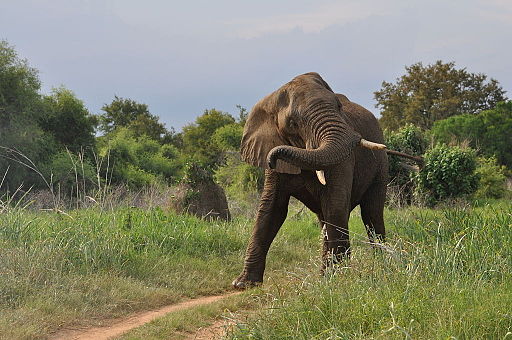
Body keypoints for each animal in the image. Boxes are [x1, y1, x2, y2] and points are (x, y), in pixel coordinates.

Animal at [235, 72, 388, 290]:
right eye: (292, 123)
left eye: (339, 107)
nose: (272, 158)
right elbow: (271, 210)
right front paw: (243, 284)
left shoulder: (344, 160)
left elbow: (335, 204)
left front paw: (338, 279)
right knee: (326, 219)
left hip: (381, 167)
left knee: (371, 213)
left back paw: (381, 264)